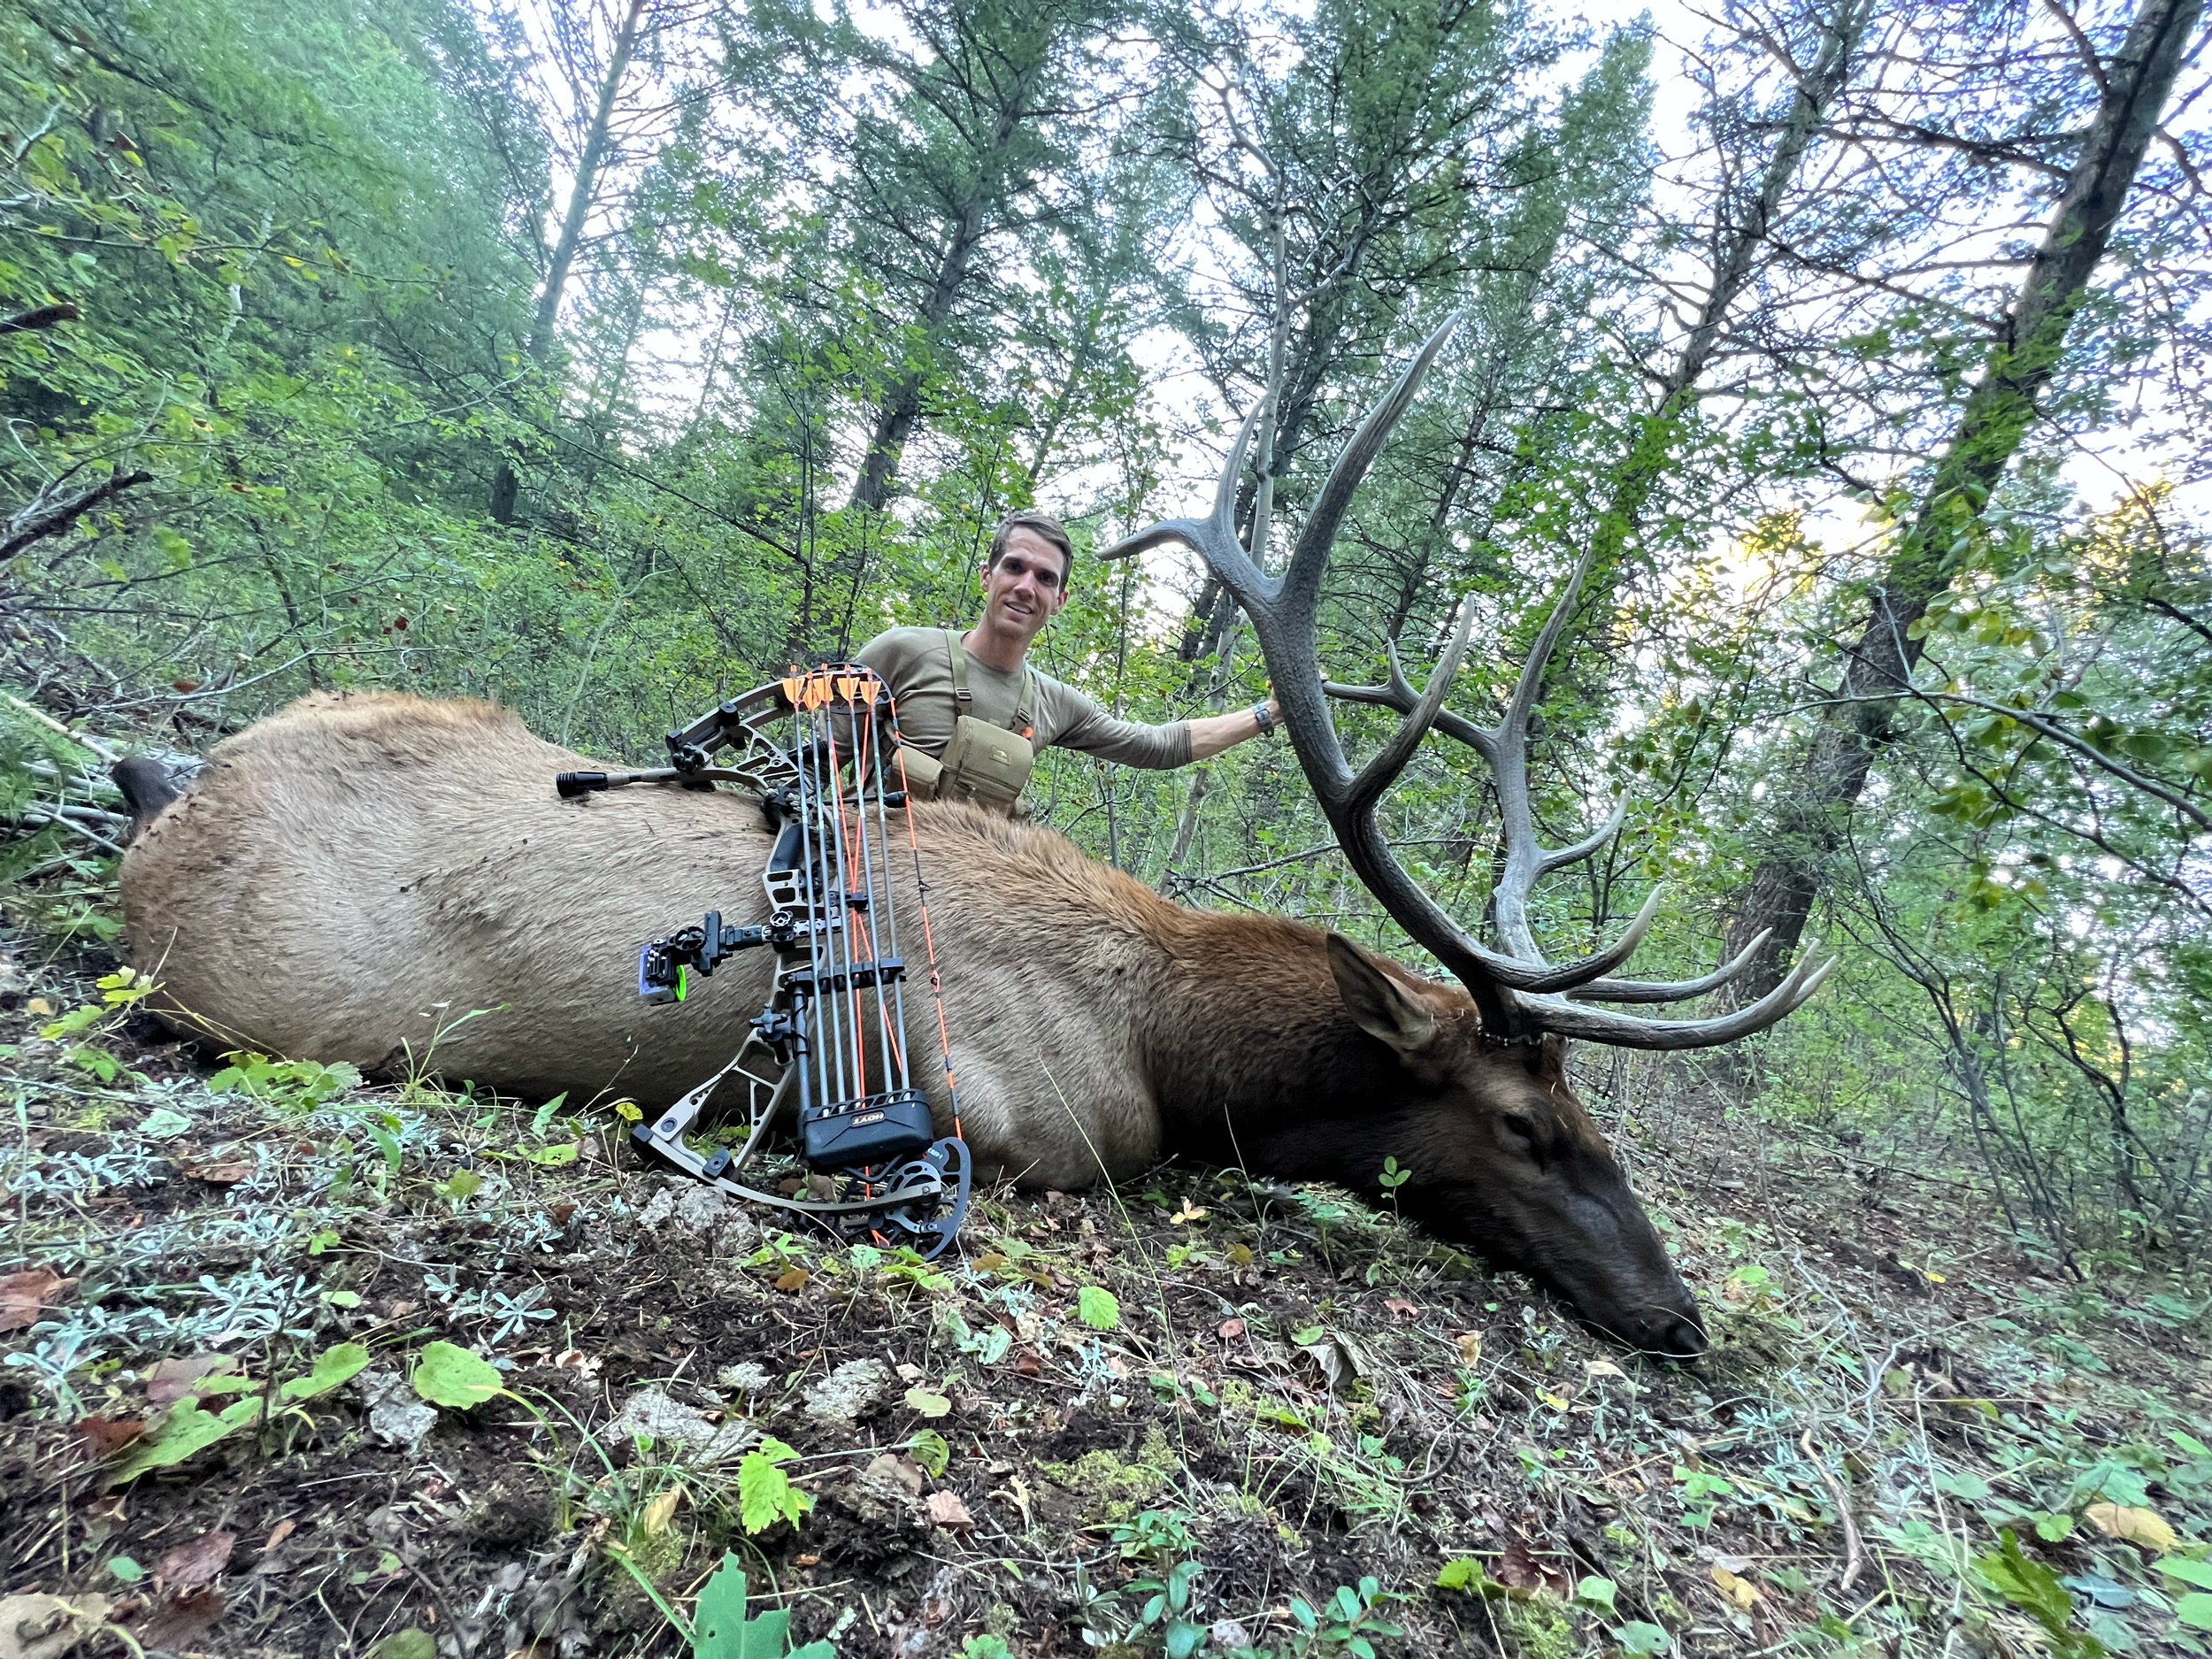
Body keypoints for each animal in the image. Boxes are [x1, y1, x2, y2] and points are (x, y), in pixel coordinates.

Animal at [115, 321, 1828, 1358]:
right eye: (1529, 1126)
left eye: (1590, 1113)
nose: (1680, 1313)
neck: (1175, 1049)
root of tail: (170, 793)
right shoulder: (1013, 1117)